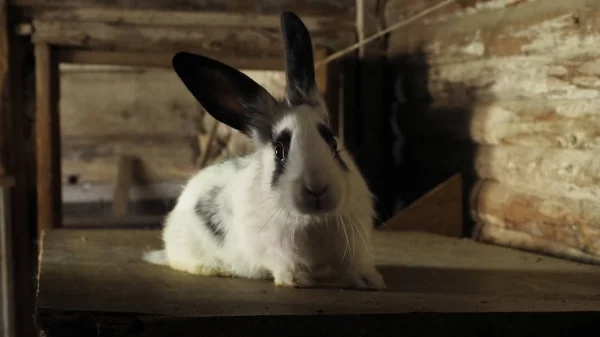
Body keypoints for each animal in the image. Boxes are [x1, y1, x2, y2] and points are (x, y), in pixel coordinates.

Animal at [144, 10, 390, 288]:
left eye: (333, 142)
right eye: (279, 151)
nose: (316, 188)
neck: (312, 220)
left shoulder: (354, 247)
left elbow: (354, 265)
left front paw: (371, 281)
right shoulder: (273, 250)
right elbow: (284, 264)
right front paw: (296, 281)